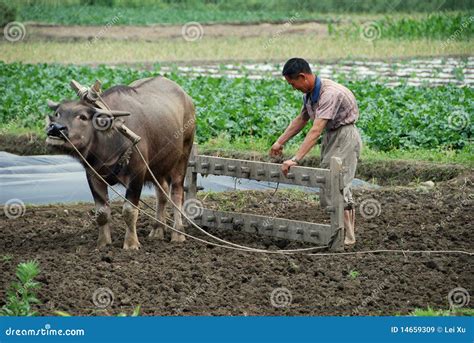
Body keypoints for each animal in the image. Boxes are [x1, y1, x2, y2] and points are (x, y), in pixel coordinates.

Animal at [47, 77, 195, 250]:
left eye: (82, 117)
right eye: (57, 114)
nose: (55, 128)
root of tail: (187, 98)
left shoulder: (137, 174)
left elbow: (129, 211)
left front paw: (131, 244)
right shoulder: (93, 175)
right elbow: (102, 213)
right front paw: (103, 243)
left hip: (183, 156)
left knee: (177, 194)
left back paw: (178, 234)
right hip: (158, 167)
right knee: (162, 194)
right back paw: (157, 230)